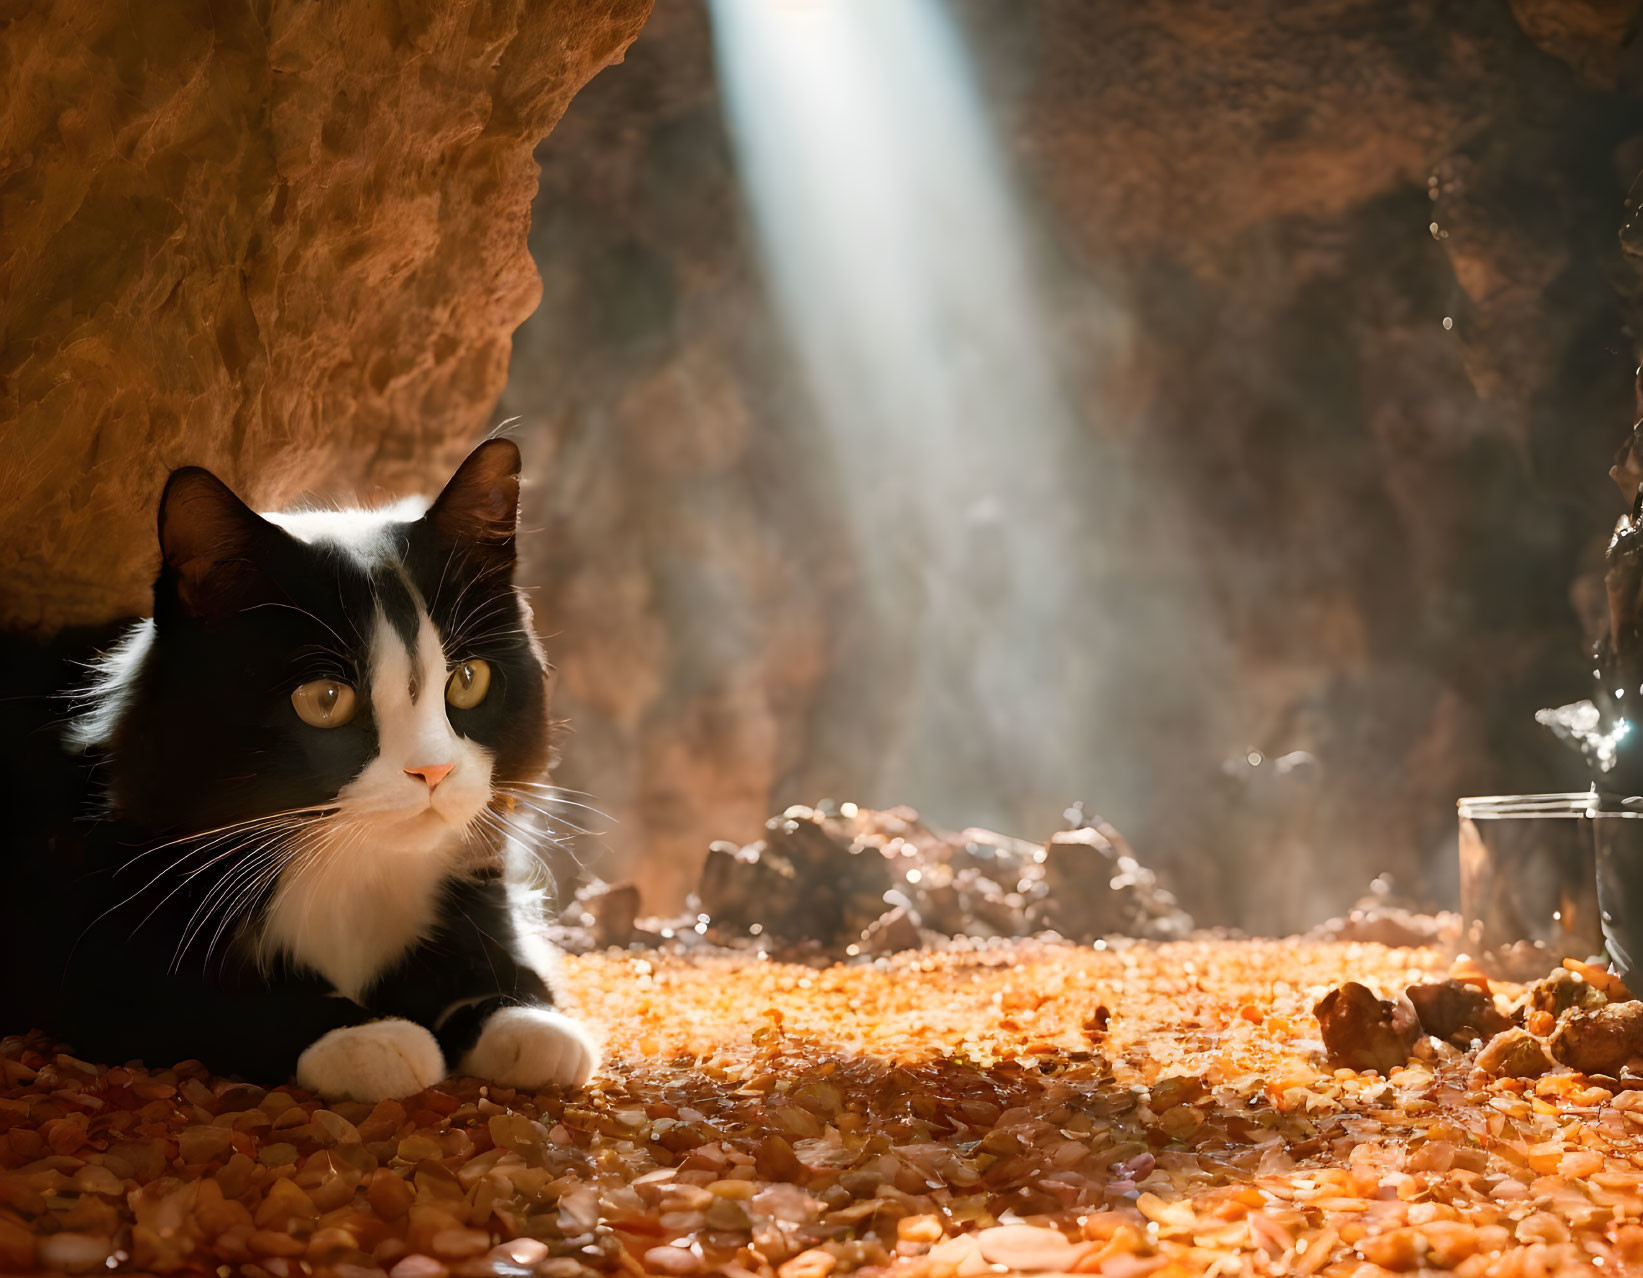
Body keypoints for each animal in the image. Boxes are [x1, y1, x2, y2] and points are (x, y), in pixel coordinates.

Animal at [0, 436, 601, 1097]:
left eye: (468, 681)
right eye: (324, 699)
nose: (434, 772)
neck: (349, 871)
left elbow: (498, 955)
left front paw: (527, 1020)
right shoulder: (96, 946)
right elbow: (210, 997)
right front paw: (367, 1037)